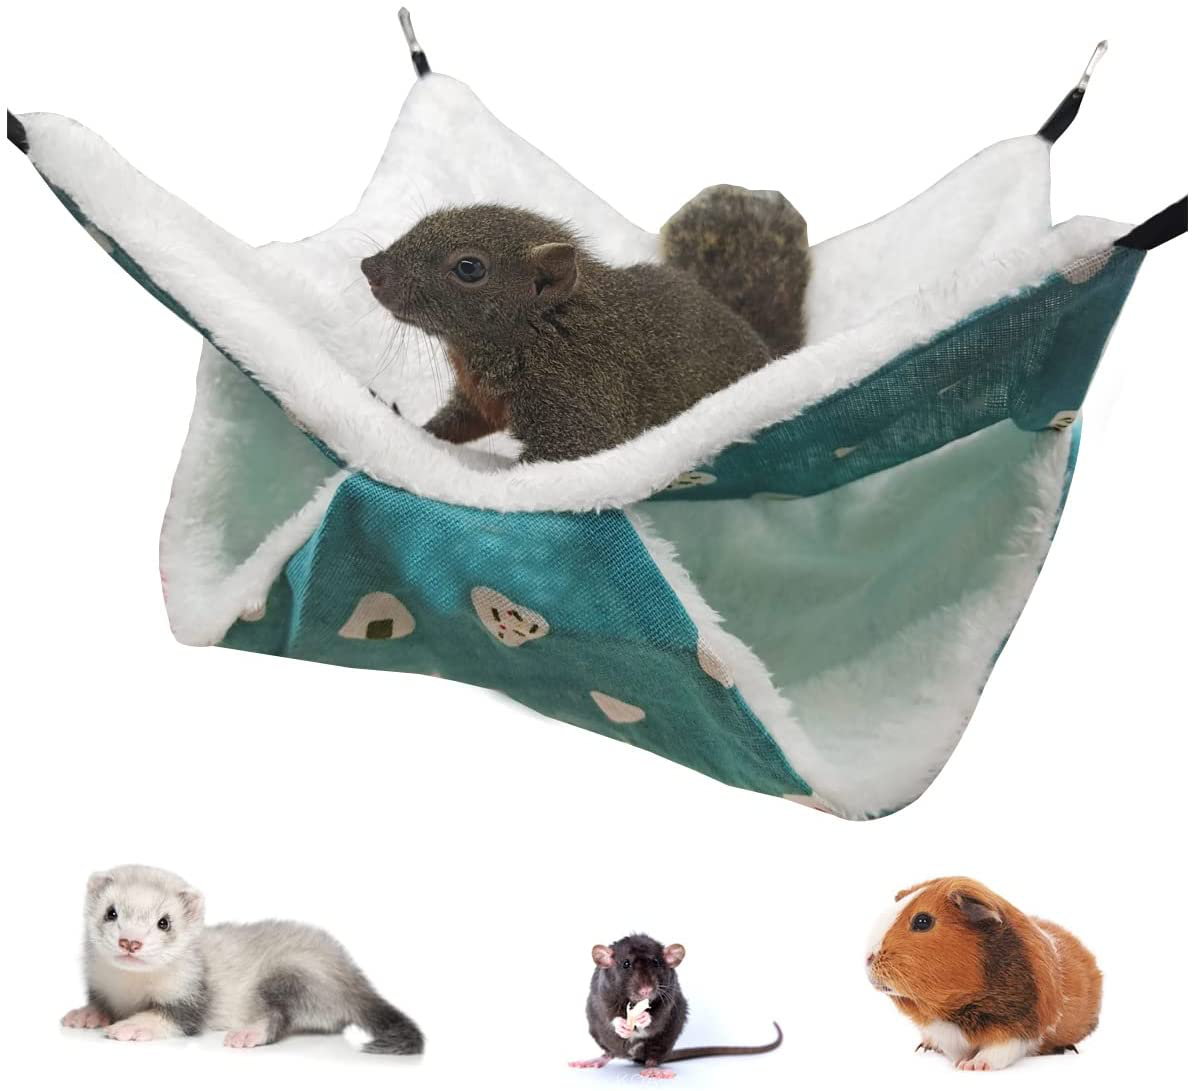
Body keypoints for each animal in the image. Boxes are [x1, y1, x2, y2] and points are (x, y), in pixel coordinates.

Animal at [60, 864, 424, 1054]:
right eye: (111, 912)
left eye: (165, 922)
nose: (131, 942)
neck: (130, 990)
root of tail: (352, 975)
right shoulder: (100, 984)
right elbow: (99, 1002)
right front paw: (87, 1013)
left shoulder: (192, 994)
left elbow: (174, 1018)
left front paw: (133, 1025)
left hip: (293, 974)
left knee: (279, 1018)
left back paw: (249, 1033)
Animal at [360, 205, 771, 462]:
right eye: (425, 221)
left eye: (469, 267)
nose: (370, 267)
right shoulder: (481, 398)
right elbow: (456, 422)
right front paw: (408, 424)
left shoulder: (575, 403)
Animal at [569, 934, 783, 1080]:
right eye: (626, 964)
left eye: (656, 962)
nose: (647, 990)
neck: (636, 1003)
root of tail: (632, 1056)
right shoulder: (602, 992)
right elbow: (607, 1013)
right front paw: (621, 1024)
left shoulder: (670, 995)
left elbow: (659, 1016)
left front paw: (645, 1017)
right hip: (599, 1034)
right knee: (609, 1053)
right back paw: (593, 1060)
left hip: (664, 1040)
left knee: (653, 1057)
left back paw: (653, 1068)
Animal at [866, 877, 1102, 1071]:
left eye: (922, 921)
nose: (868, 958)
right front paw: (959, 1060)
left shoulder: (1021, 1027)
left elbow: (998, 1050)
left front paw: (972, 1066)